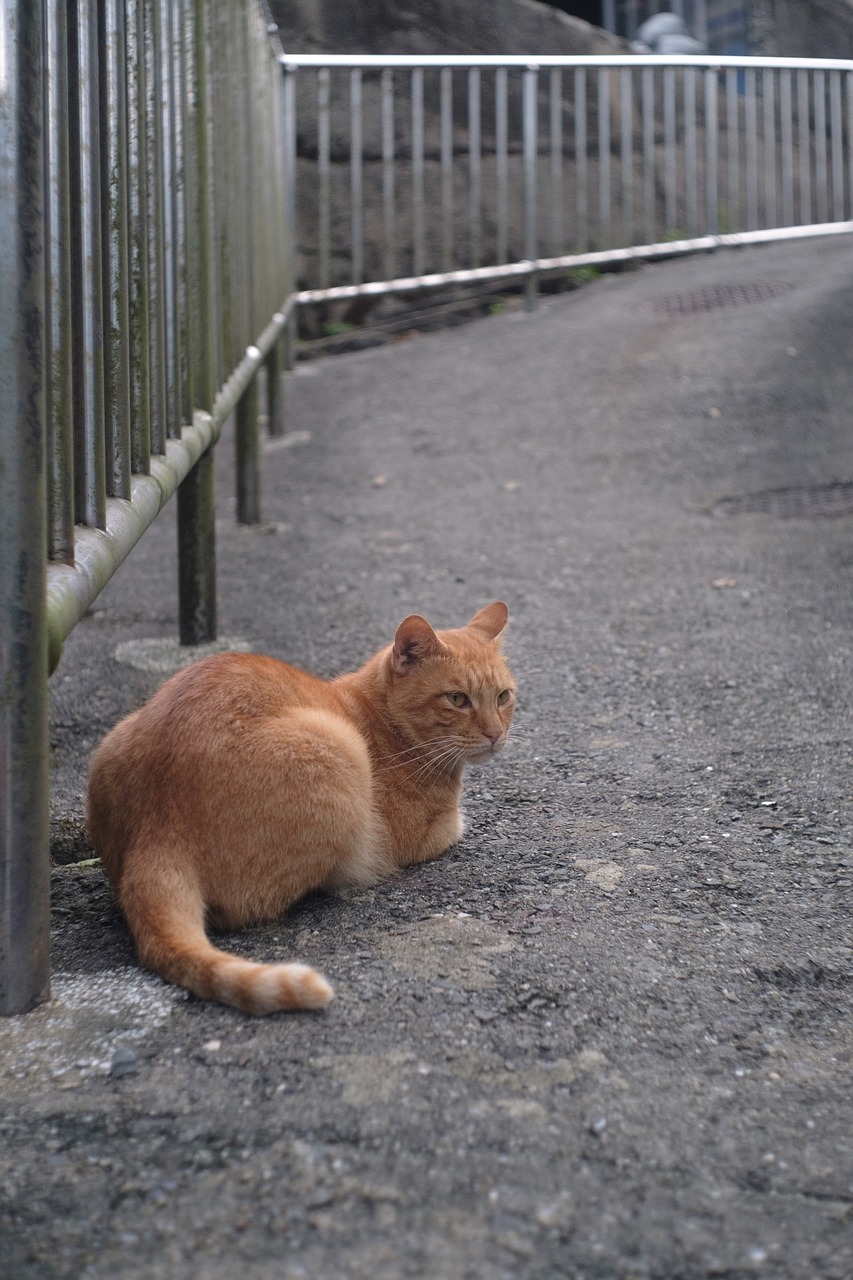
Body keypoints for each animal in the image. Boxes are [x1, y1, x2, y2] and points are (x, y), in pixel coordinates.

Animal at [84, 604, 512, 1013]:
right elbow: (455, 825)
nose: (496, 734)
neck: (383, 720)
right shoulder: (428, 834)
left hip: (112, 740)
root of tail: (156, 825)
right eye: (457, 699)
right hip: (338, 753)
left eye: (503, 697)